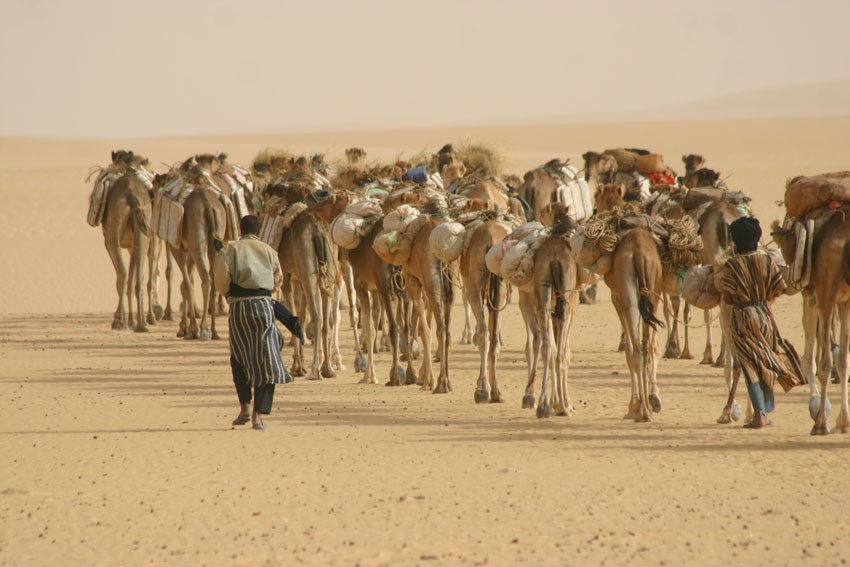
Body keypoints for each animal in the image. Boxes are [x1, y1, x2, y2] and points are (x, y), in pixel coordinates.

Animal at [772, 208, 850, 434]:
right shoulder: (844, 301)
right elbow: (844, 361)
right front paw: (843, 421)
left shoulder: (812, 297)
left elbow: (809, 360)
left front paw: (817, 409)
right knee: (837, 359)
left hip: (824, 296)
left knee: (824, 362)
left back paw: (820, 423)